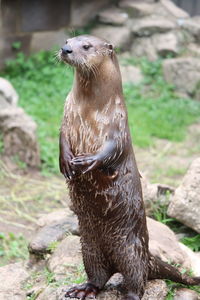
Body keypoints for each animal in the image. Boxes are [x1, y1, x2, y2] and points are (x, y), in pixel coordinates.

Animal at [58, 35, 199, 300]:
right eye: (68, 39)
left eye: (87, 46)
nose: (65, 49)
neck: (89, 110)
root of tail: (149, 256)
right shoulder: (66, 113)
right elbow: (61, 138)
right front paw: (65, 162)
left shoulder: (119, 125)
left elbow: (113, 150)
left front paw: (87, 161)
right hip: (89, 248)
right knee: (98, 276)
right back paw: (84, 288)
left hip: (130, 250)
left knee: (137, 279)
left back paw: (129, 294)